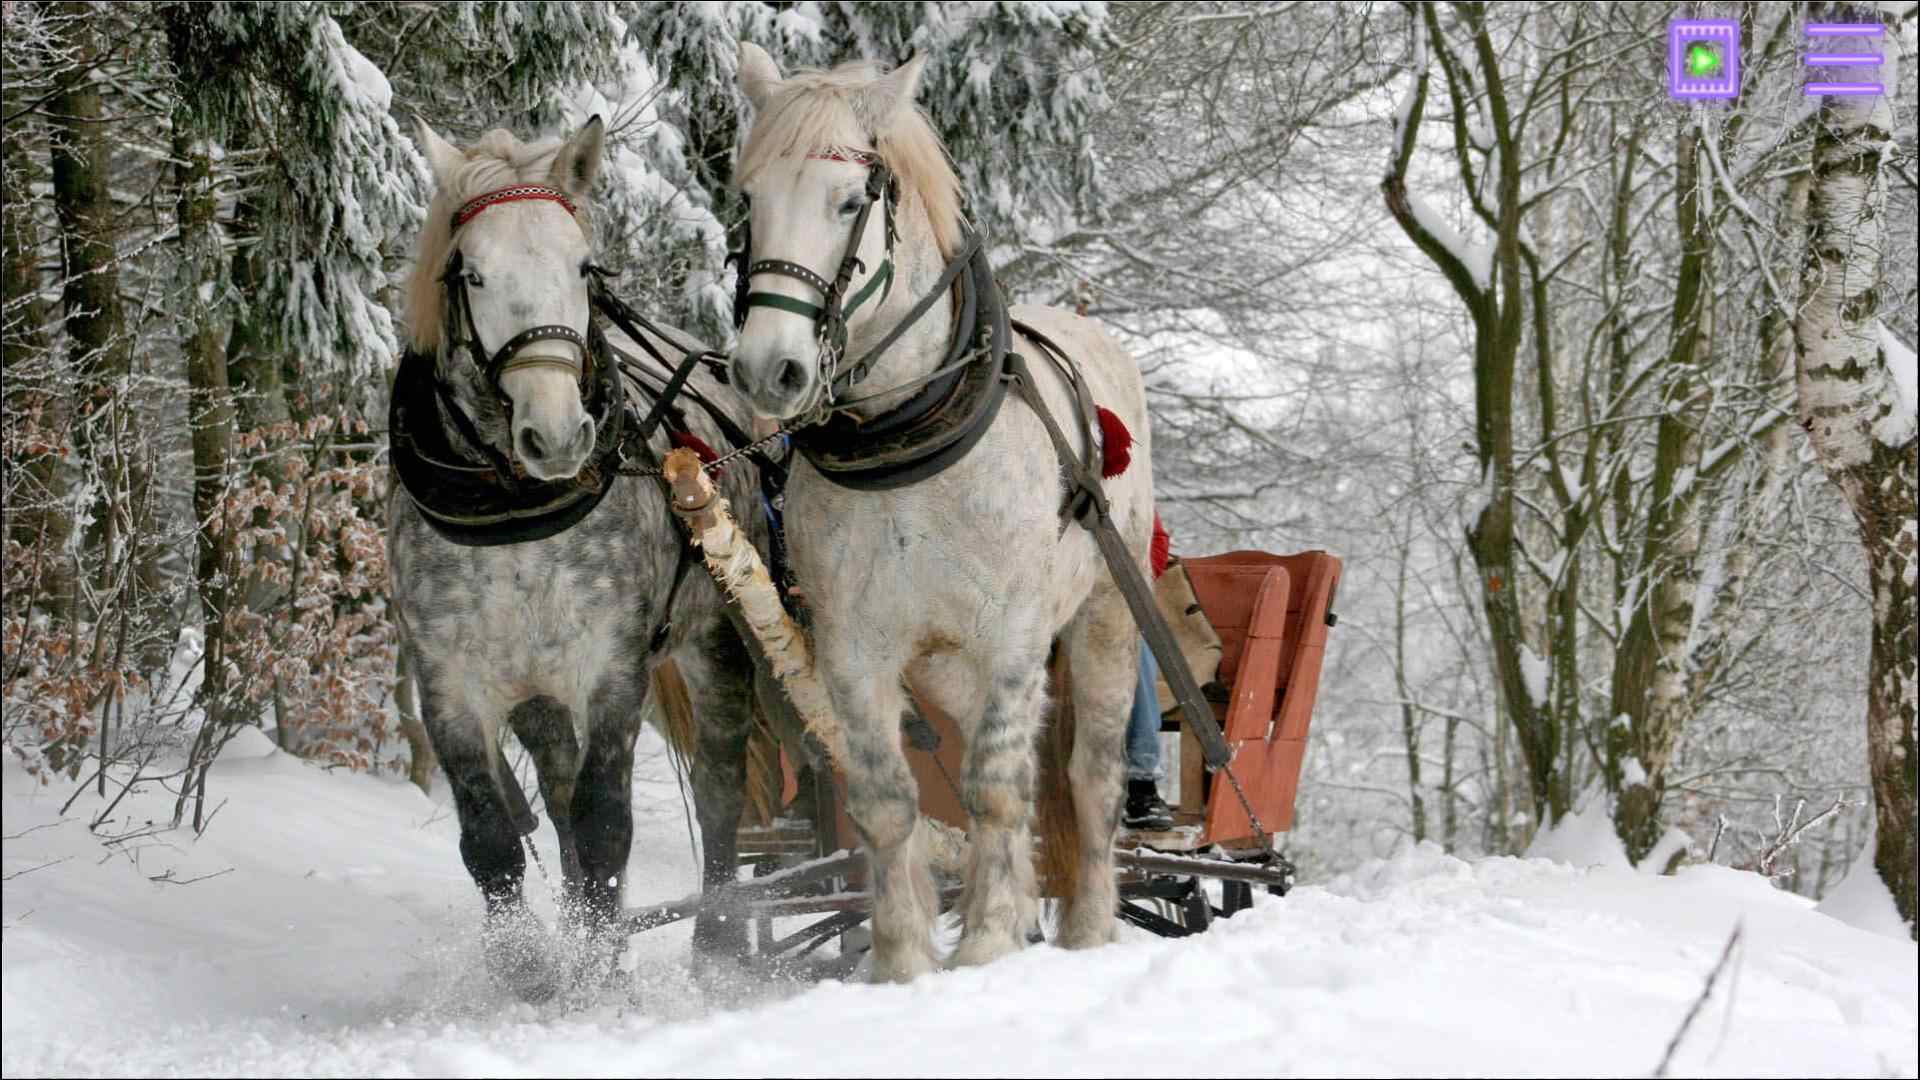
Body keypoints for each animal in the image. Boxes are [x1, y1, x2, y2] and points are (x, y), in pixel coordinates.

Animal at [725, 46, 1152, 980]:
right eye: (749, 200)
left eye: (850, 202)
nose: (769, 370)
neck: (908, 439)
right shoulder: (853, 646)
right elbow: (889, 799)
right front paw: (904, 960)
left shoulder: (1016, 634)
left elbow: (994, 786)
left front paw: (987, 941)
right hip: (950, 665)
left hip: (1104, 617)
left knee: (1087, 775)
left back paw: (1089, 928)